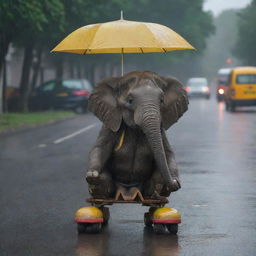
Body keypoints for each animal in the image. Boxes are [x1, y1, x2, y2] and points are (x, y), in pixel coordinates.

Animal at [85, 71, 188, 199]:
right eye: (130, 100)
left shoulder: (160, 128)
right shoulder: (111, 124)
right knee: (103, 178)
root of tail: (128, 193)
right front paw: (92, 174)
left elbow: (168, 152)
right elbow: (100, 147)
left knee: (159, 176)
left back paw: (154, 196)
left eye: (162, 100)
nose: (174, 184)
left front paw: (175, 181)